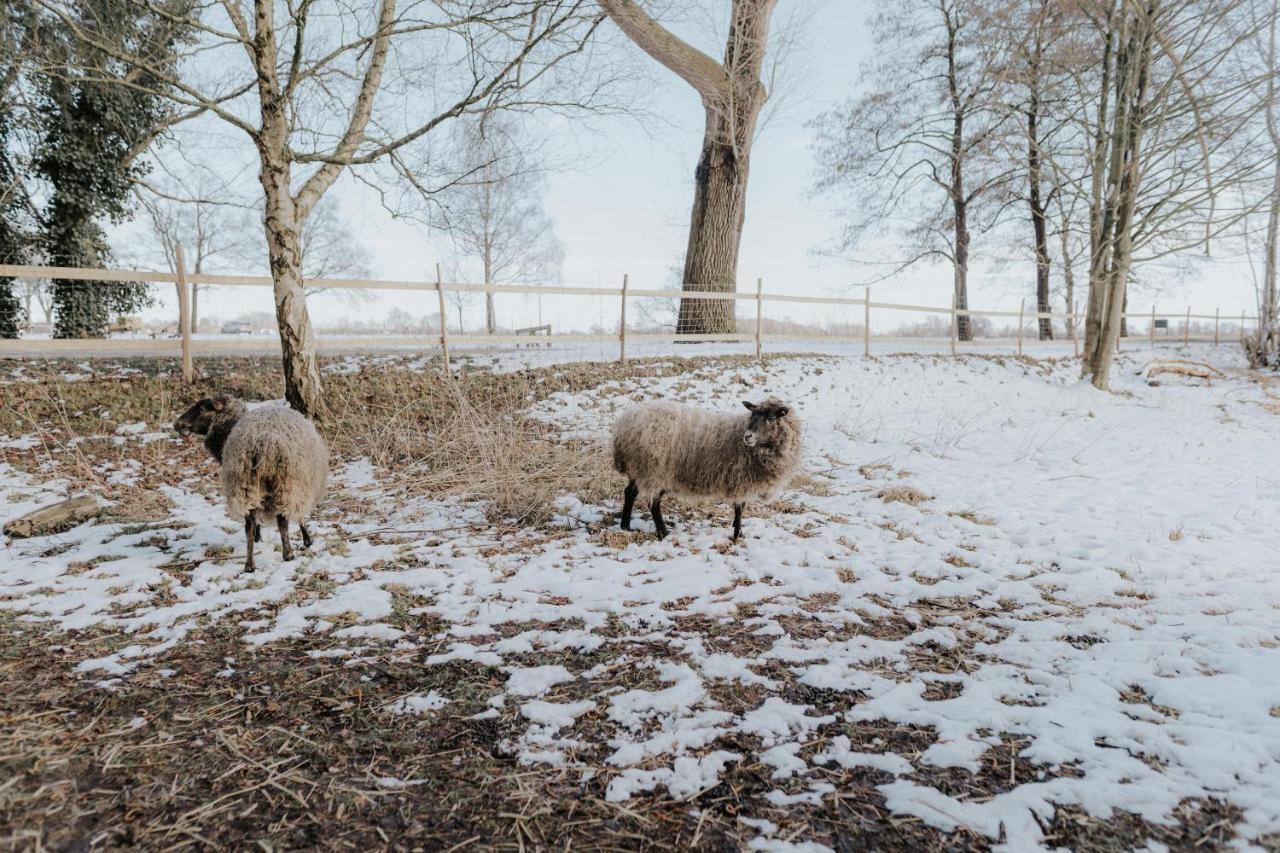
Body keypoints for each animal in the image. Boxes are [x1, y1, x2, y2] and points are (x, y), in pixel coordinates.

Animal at [172, 394, 327, 571]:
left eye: (203, 408)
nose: (177, 424)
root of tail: (266, 443)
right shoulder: (298, 488)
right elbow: (299, 515)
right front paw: (308, 539)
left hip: (246, 485)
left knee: (249, 527)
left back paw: (250, 564)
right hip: (283, 484)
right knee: (281, 522)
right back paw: (287, 554)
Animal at [609, 394, 798, 537]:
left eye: (772, 417)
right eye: (752, 415)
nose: (748, 436)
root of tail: (624, 424)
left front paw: (735, 528)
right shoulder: (741, 479)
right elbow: (739, 507)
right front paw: (737, 534)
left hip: (640, 469)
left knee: (630, 493)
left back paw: (626, 527)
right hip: (655, 470)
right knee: (653, 503)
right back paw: (664, 533)